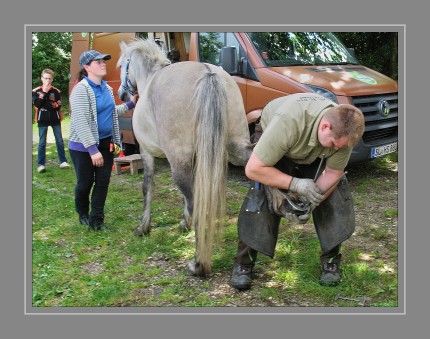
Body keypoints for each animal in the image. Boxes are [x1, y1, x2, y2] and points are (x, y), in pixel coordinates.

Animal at [116, 38, 254, 278]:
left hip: (179, 160)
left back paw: (198, 264)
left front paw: (143, 227)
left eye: (123, 64)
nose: (122, 93)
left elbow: (148, 187)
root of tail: (207, 72)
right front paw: (184, 223)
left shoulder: (147, 152)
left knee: (194, 202)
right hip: (238, 148)